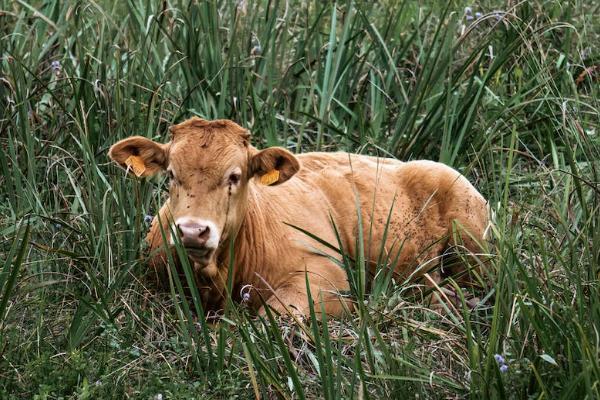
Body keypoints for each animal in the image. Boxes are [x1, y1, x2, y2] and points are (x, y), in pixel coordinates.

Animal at [109, 117, 488, 318]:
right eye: (171, 175)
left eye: (235, 176)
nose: (192, 231)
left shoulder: (324, 276)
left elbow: (274, 317)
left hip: (475, 245)